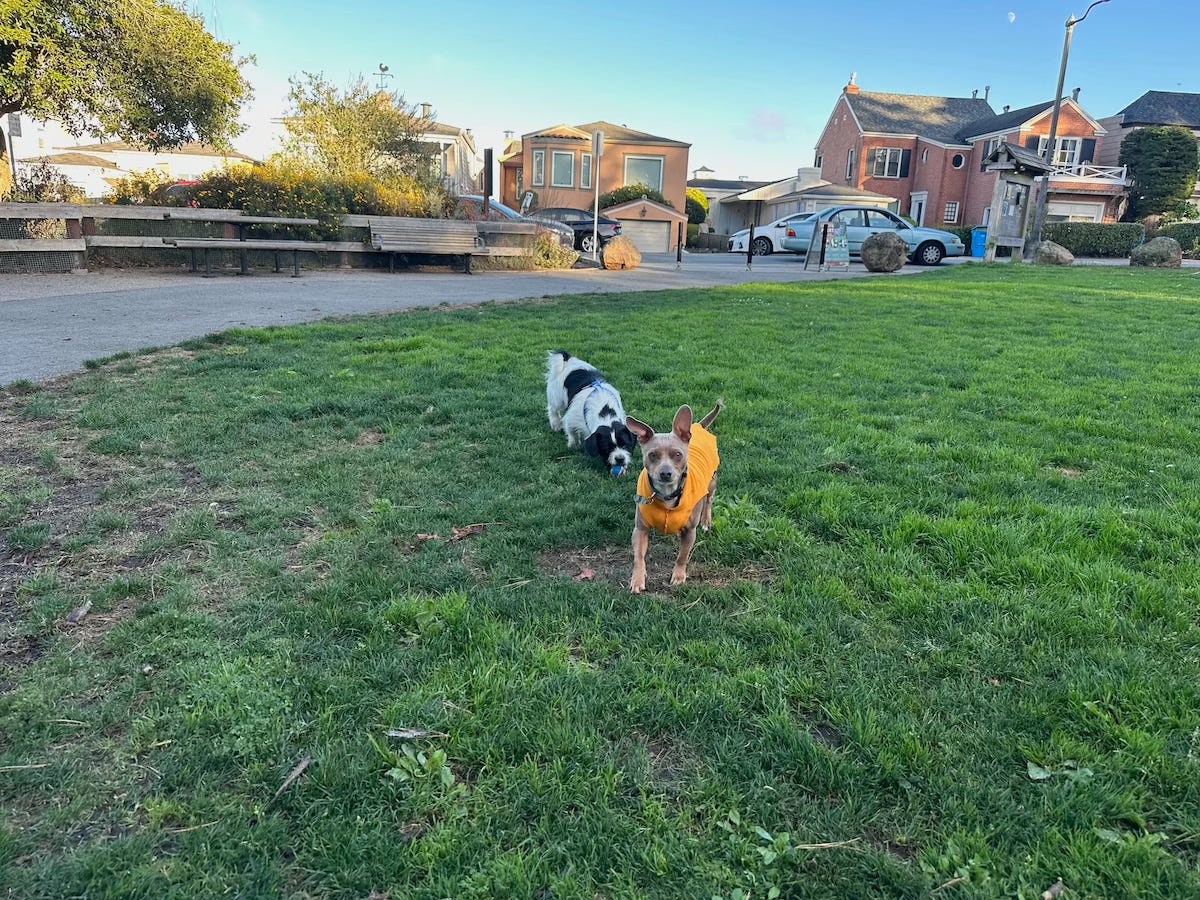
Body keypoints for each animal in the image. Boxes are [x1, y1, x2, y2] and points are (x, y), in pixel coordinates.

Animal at [626, 402, 722, 593]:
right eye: (652, 455)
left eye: (677, 454)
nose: (665, 473)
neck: (666, 494)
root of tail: (698, 426)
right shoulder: (640, 529)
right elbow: (638, 557)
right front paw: (637, 579)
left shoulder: (690, 531)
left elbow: (682, 556)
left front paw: (678, 575)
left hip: (712, 482)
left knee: (709, 500)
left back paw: (706, 521)